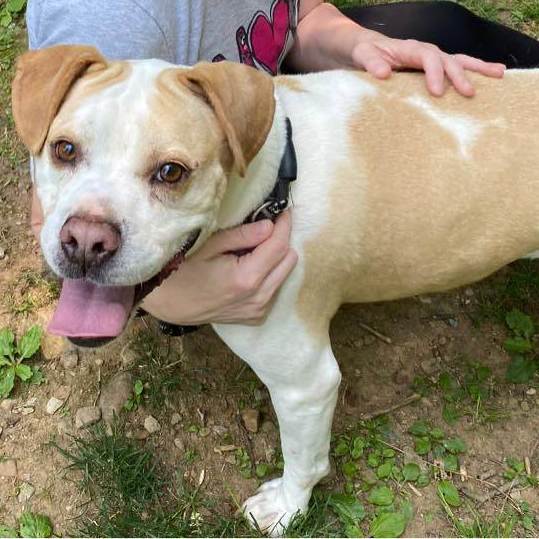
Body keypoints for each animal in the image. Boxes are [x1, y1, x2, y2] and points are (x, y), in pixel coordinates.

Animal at [10, 45, 539, 536]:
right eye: (64, 150)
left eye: (171, 172)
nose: (85, 242)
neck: (277, 182)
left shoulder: (306, 381)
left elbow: (305, 458)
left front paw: (286, 507)